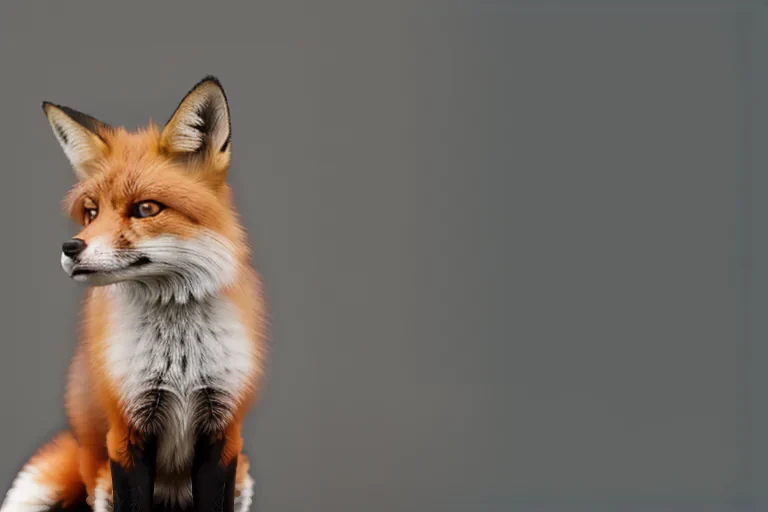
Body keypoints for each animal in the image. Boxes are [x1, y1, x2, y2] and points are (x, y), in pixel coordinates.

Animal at [0, 77, 267, 512]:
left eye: (145, 209)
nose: (70, 248)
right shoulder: (125, 434)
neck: (179, 359)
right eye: (91, 212)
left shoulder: (223, 432)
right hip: (97, 483)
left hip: (243, 479)